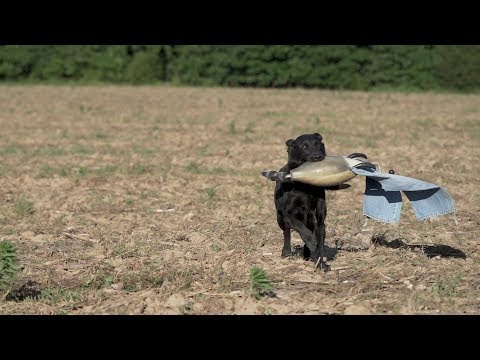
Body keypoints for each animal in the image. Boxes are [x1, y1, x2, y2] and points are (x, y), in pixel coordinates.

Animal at [274, 134, 330, 268]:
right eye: (304, 146)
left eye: (317, 144)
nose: (318, 156)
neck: (306, 184)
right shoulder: (289, 215)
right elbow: (301, 229)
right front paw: (310, 240)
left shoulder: (319, 220)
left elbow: (320, 244)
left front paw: (320, 263)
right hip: (280, 218)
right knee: (286, 233)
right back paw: (286, 252)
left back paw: (308, 254)